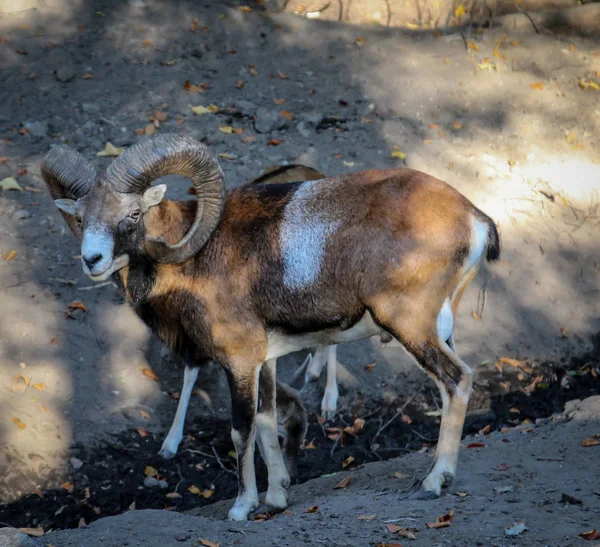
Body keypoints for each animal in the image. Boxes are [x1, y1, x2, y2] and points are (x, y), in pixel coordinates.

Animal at [42, 133, 500, 524]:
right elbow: (267, 422)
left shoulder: (240, 362)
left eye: (133, 214)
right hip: (440, 327)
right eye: (81, 217)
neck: (194, 259)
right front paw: (276, 498)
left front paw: (242, 507)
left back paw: (433, 483)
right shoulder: (264, 360)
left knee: (457, 380)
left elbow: (242, 429)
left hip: (411, 326)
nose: (92, 260)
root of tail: (474, 219)